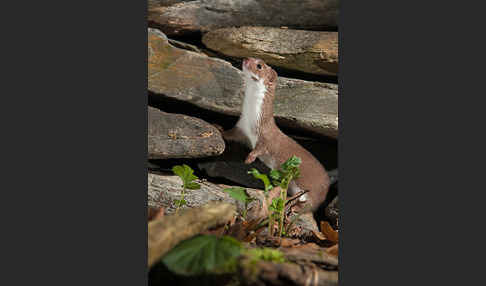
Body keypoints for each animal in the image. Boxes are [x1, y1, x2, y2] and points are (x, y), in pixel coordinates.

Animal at [221, 57, 330, 211]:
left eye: (259, 65)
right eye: (251, 57)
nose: (245, 59)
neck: (251, 120)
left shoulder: (266, 136)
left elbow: (261, 148)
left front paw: (249, 158)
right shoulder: (241, 128)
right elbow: (230, 134)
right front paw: (219, 129)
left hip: (312, 190)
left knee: (310, 205)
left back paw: (295, 207)